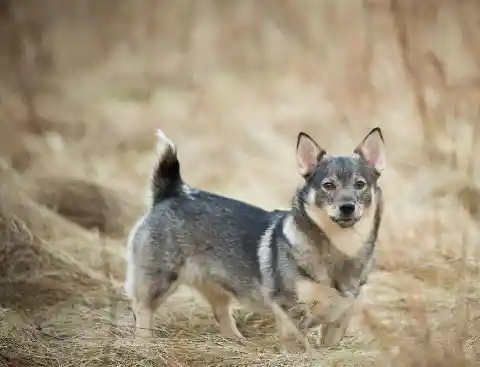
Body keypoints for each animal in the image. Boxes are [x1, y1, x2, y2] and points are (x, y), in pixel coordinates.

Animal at [124, 127, 386, 354]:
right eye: (328, 185)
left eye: (360, 184)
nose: (347, 207)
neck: (341, 248)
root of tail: (173, 193)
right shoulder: (291, 312)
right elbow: (297, 347)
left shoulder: (338, 321)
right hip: (159, 280)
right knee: (141, 309)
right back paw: (144, 343)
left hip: (216, 286)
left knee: (222, 314)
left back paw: (237, 342)